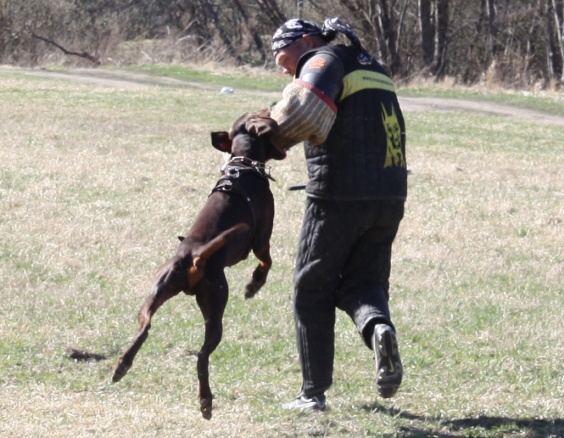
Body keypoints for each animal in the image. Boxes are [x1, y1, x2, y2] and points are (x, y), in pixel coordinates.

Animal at [112, 109, 284, 418]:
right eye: (260, 114)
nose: (268, 108)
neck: (243, 164)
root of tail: (194, 254)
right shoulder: (262, 239)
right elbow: (266, 261)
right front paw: (254, 285)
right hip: (215, 305)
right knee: (203, 356)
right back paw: (206, 401)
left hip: (159, 289)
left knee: (145, 327)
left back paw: (122, 365)